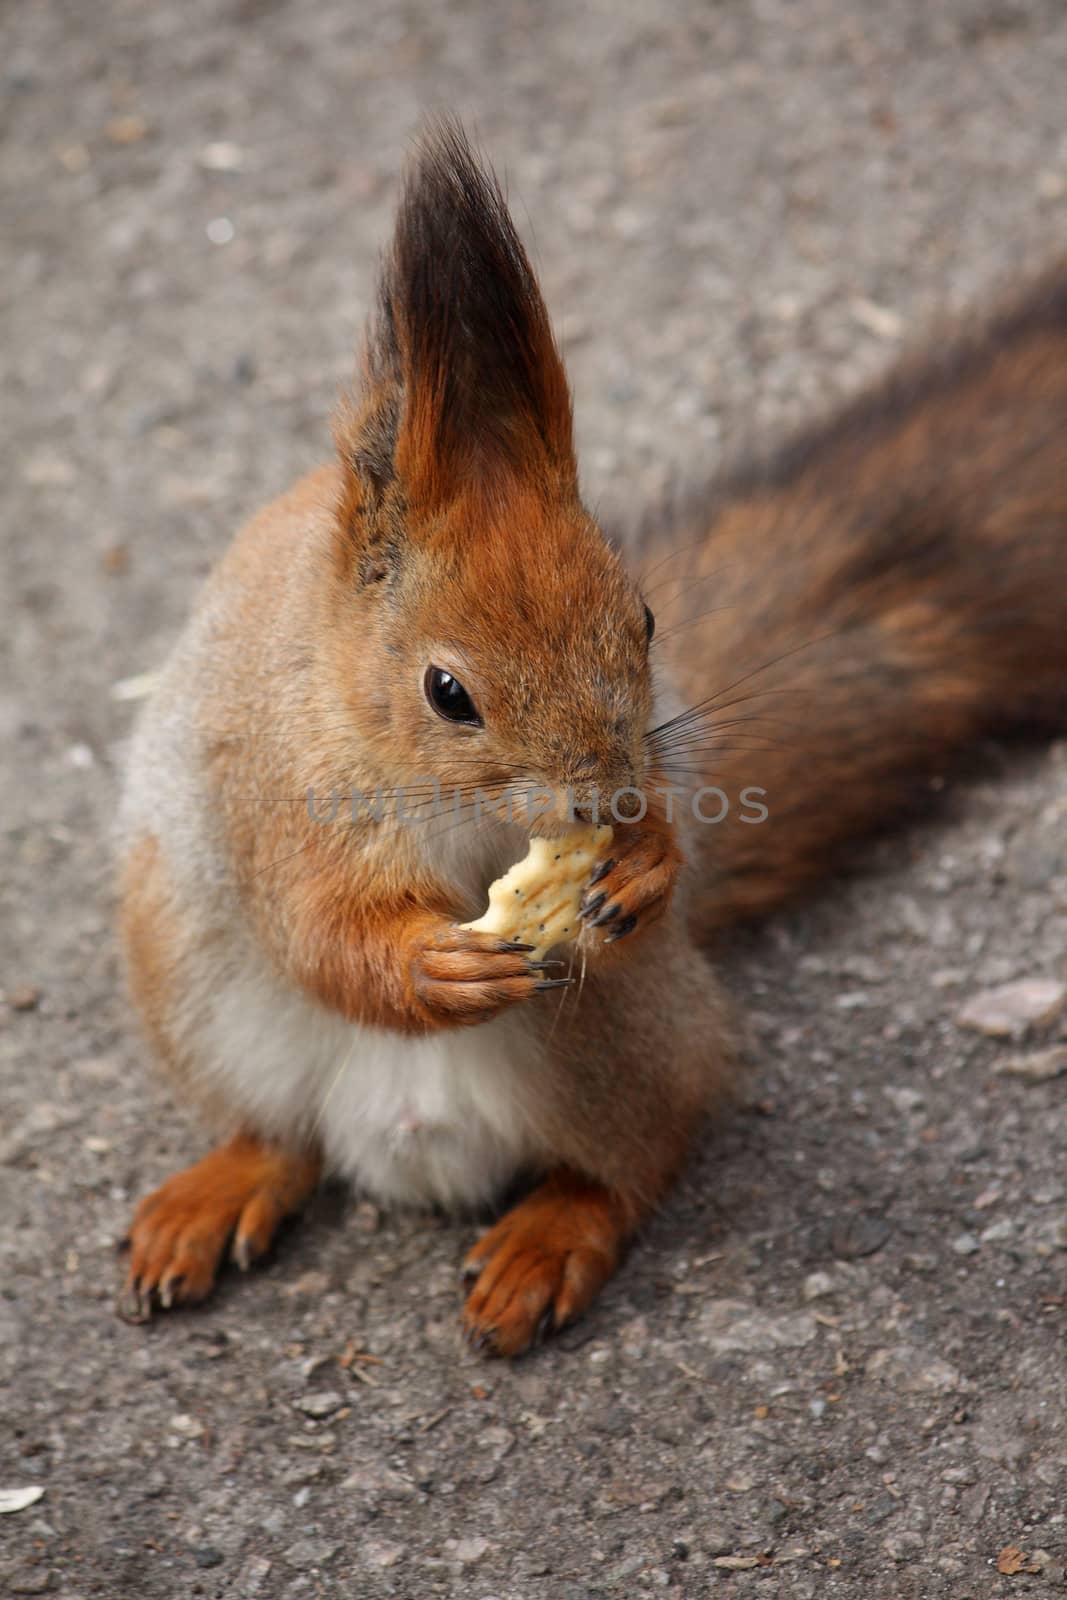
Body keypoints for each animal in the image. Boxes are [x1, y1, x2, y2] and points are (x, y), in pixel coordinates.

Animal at [116, 118, 1067, 1356]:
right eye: (446, 691)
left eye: (647, 618)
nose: (597, 801)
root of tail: (409, 1149)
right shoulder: (270, 792)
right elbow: (317, 930)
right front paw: (426, 961)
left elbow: (671, 825)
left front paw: (648, 858)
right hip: (193, 987)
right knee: (281, 1135)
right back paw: (218, 1188)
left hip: (622, 1029)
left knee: (639, 1153)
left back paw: (551, 1232)